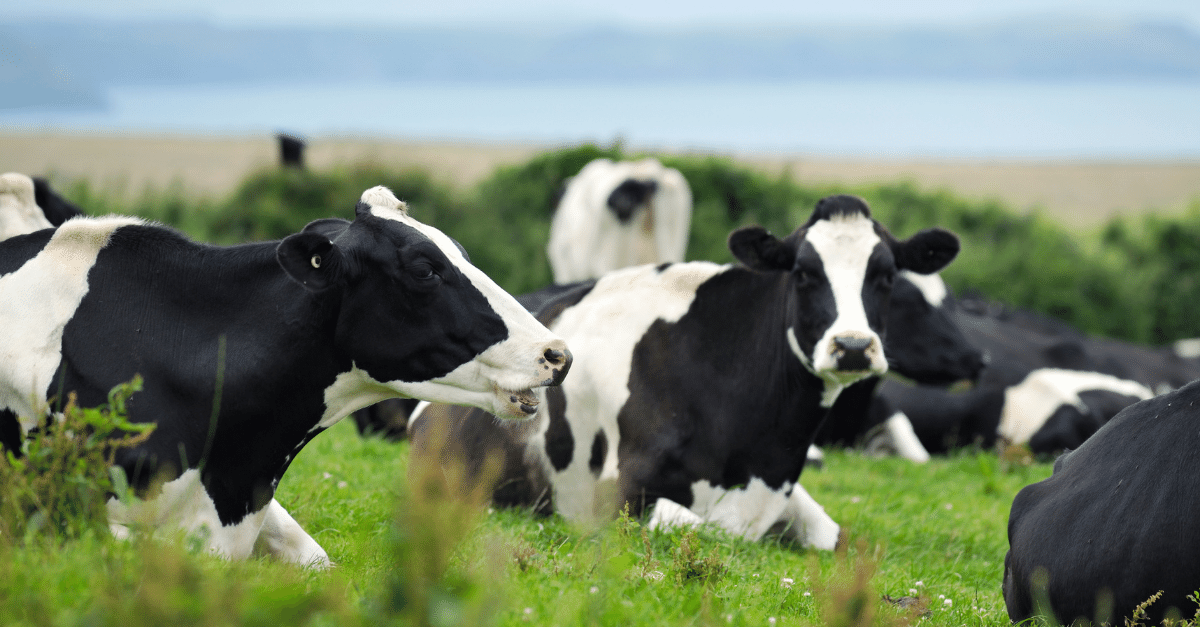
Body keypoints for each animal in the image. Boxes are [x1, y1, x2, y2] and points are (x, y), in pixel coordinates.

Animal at [408, 193, 960, 547]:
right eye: (804, 273)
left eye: (886, 276)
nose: (852, 346)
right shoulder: (618, 495)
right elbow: (696, 525)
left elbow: (834, 536)